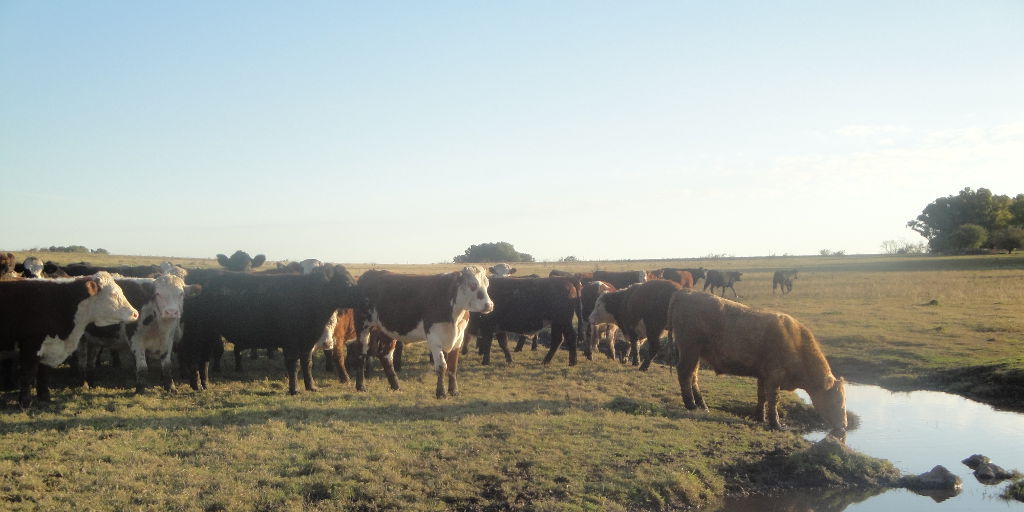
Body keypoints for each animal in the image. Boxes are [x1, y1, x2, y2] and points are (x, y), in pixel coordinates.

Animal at [0, 272, 138, 407]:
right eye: (113, 294)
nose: (135, 313)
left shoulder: (48, 347)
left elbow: (43, 373)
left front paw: (45, 397)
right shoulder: (30, 346)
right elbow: (28, 374)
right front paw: (25, 402)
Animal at [354, 266, 493, 397]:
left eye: (487, 285)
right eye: (473, 285)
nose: (489, 305)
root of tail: (370, 273)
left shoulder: (459, 338)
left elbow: (453, 366)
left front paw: (454, 391)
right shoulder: (434, 338)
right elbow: (442, 366)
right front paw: (441, 392)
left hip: (387, 329)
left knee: (385, 356)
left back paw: (396, 386)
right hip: (363, 325)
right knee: (361, 354)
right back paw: (361, 386)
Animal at [663, 290, 847, 434]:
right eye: (837, 400)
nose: (844, 425)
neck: (797, 344)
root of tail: (685, 293)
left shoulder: (763, 376)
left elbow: (762, 396)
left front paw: (760, 417)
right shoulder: (774, 377)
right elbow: (773, 400)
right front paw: (776, 424)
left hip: (696, 354)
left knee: (693, 376)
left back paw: (703, 406)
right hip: (689, 349)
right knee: (685, 373)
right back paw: (691, 405)